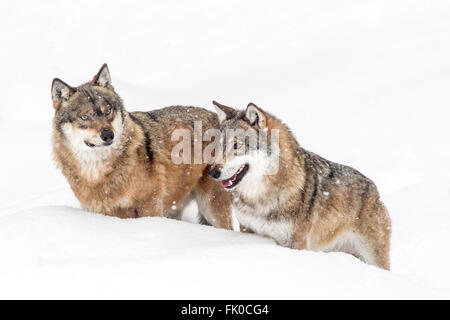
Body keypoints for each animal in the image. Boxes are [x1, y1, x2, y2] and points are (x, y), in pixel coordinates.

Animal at [210, 100, 390, 270]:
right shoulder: (247, 229)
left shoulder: (294, 243)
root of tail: (375, 189)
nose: (213, 172)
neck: (259, 199)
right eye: (219, 145)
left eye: (236, 145)